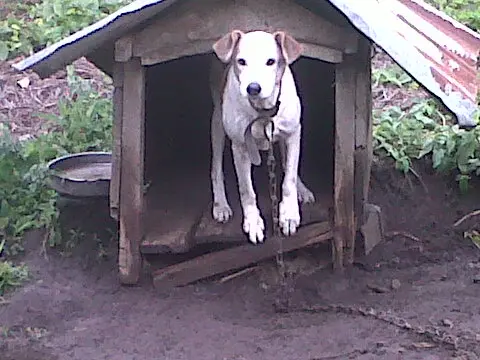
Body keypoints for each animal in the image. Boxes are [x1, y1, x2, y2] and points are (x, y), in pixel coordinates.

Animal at [210, 30, 316, 245]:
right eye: (241, 61)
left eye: (271, 61)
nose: (253, 87)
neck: (263, 111)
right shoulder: (240, 147)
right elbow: (247, 190)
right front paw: (253, 222)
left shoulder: (293, 134)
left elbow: (289, 178)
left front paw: (289, 213)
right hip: (217, 123)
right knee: (216, 168)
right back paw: (221, 204)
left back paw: (302, 190)